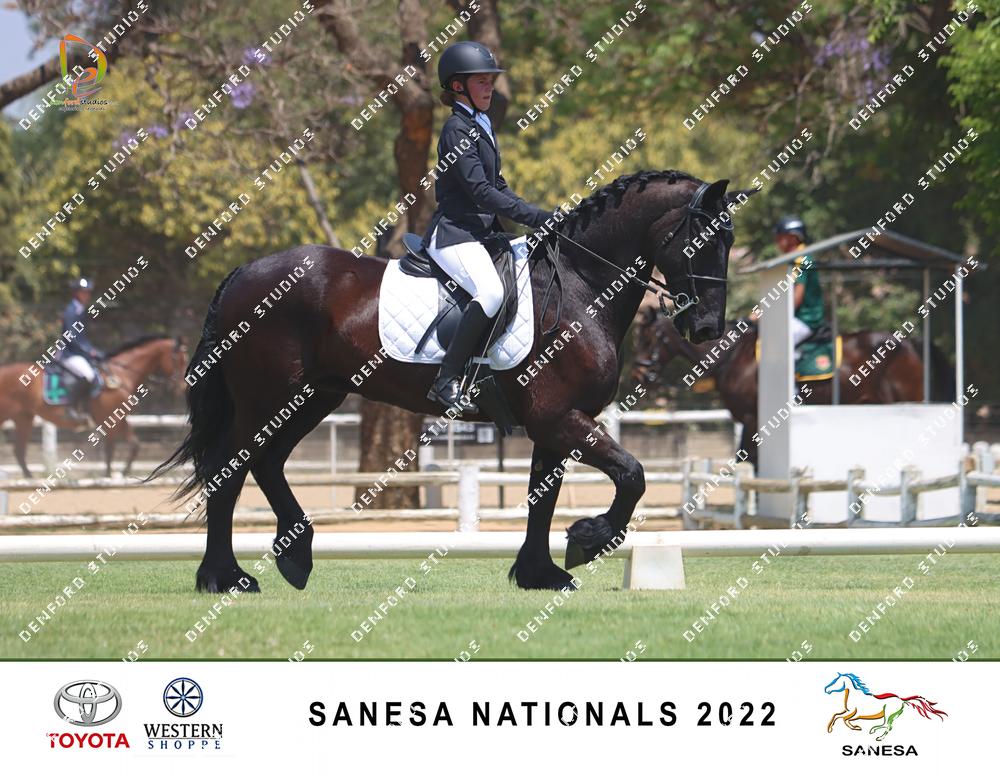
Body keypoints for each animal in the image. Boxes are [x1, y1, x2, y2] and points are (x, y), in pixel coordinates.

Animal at [0, 336, 188, 478]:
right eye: (177, 360)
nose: (182, 388)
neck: (121, 374)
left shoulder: (120, 420)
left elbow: (134, 445)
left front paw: (122, 473)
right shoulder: (111, 420)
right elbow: (110, 451)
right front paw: (110, 475)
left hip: (23, 418)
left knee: (19, 451)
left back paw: (29, 477)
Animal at [153, 169, 757, 593]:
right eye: (703, 240)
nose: (706, 328)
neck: (583, 285)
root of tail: (245, 273)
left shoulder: (555, 423)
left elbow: (543, 497)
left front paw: (539, 573)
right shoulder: (559, 419)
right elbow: (631, 475)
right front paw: (587, 540)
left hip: (312, 396)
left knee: (266, 462)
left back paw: (293, 556)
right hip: (268, 397)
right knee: (228, 470)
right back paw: (224, 577)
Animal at [631, 310, 953, 466]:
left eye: (649, 337)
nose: (639, 373)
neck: (733, 355)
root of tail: (910, 342)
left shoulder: (752, 419)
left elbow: (750, 461)